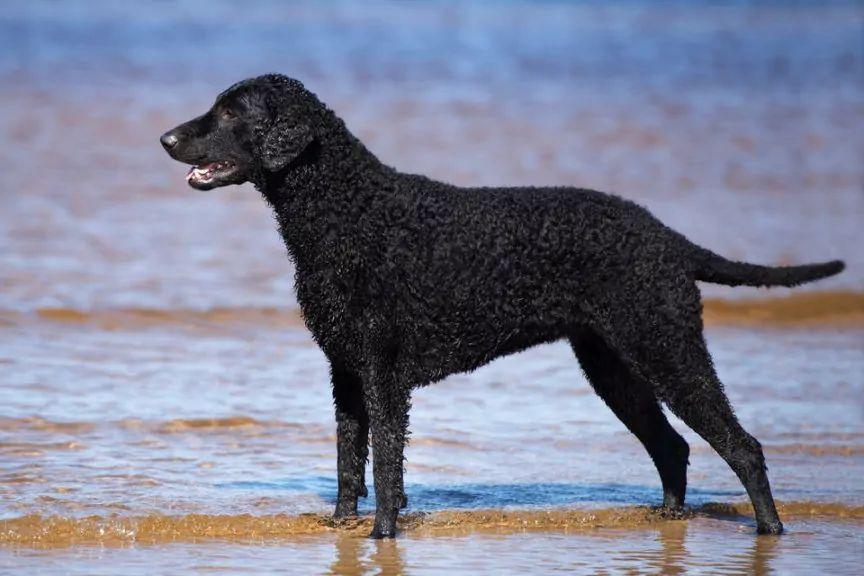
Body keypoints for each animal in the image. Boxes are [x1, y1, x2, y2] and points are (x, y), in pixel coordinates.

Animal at [160, 74, 844, 536]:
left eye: (229, 110)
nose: (164, 137)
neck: (348, 210)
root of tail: (666, 237)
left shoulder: (383, 374)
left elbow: (385, 464)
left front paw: (381, 535)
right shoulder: (346, 372)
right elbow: (350, 461)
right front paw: (340, 526)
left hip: (666, 345)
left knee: (743, 446)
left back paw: (770, 532)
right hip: (613, 365)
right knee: (672, 447)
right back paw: (667, 520)